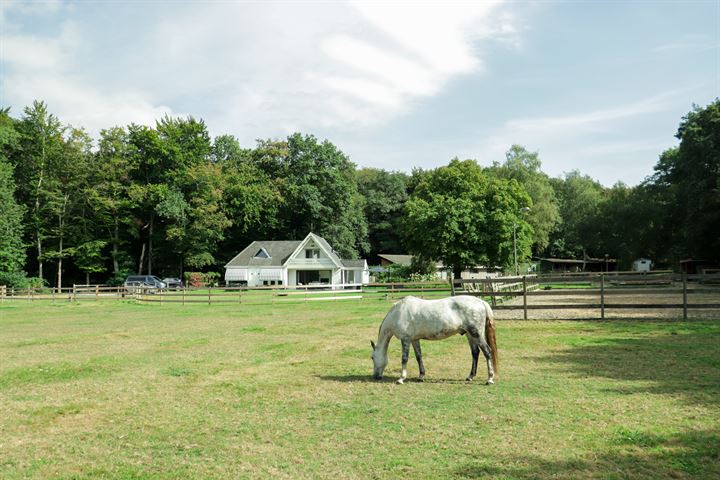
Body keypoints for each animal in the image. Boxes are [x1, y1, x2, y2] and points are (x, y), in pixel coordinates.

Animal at [368, 294, 498, 384]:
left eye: (372, 357)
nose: (375, 376)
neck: (398, 312)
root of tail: (480, 301)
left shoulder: (405, 339)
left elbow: (404, 358)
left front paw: (401, 378)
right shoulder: (414, 339)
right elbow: (418, 357)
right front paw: (421, 376)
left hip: (477, 334)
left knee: (487, 352)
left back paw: (490, 379)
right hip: (470, 335)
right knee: (475, 353)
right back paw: (470, 377)